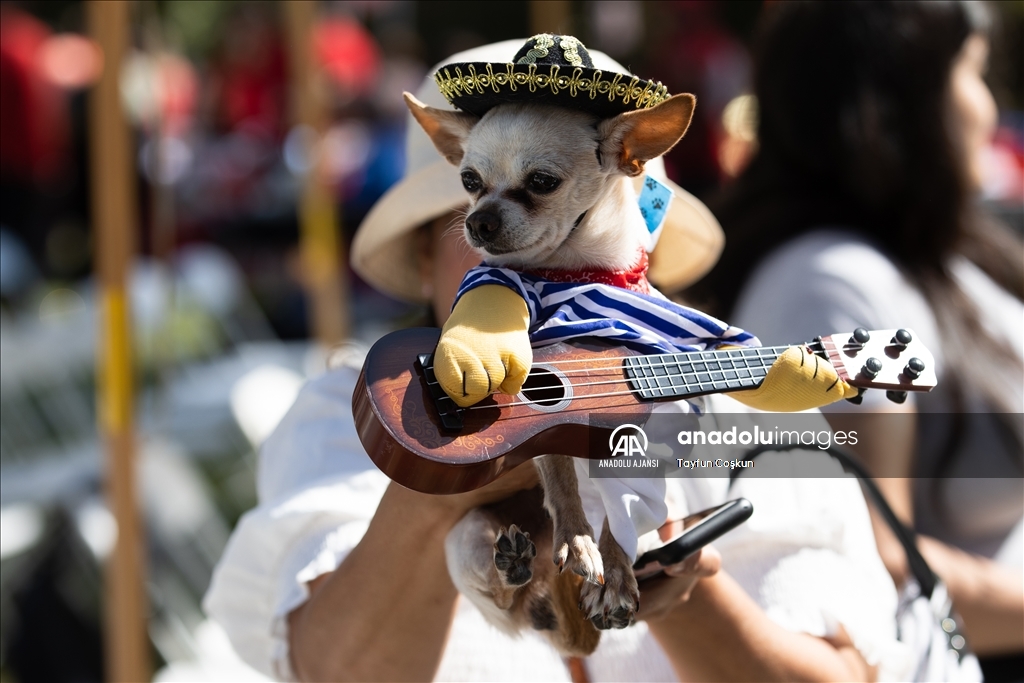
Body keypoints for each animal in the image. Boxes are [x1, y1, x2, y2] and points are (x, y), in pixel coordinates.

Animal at [403, 88, 692, 655]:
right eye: (469, 180)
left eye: (541, 182)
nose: (479, 220)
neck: (576, 278)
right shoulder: (540, 401)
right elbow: (559, 474)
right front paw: (578, 539)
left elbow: (625, 498)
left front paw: (614, 571)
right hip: (461, 539)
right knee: (506, 595)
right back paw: (513, 567)